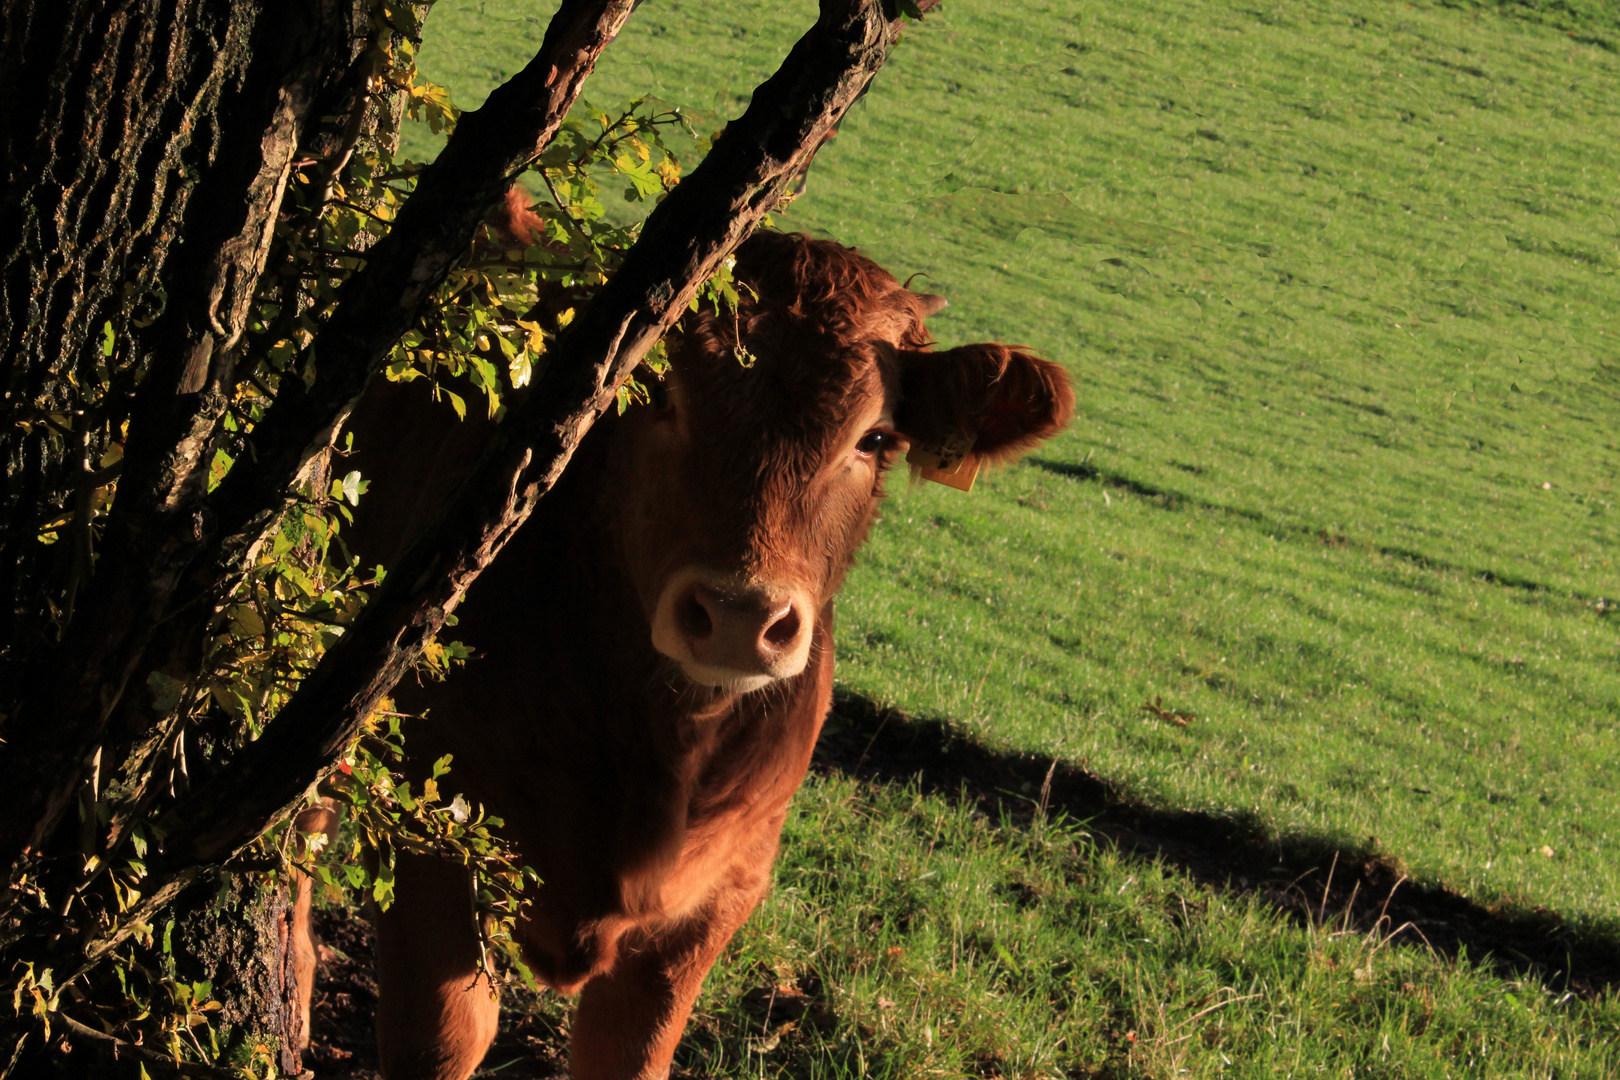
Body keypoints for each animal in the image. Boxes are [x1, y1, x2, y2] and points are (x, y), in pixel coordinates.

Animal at [301, 233, 1075, 1075]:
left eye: (874, 439)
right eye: (658, 395)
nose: (741, 615)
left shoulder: (720, 892)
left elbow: (630, 1054)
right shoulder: (430, 834)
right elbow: (446, 1035)